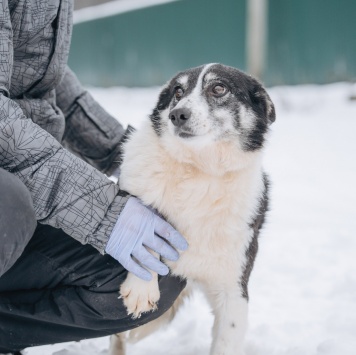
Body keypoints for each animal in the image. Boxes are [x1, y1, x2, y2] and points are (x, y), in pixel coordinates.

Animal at [111, 64, 276, 355]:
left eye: (219, 88)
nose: (177, 114)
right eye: (178, 91)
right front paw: (142, 288)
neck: (201, 171)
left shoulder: (234, 291)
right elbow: (144, 229)